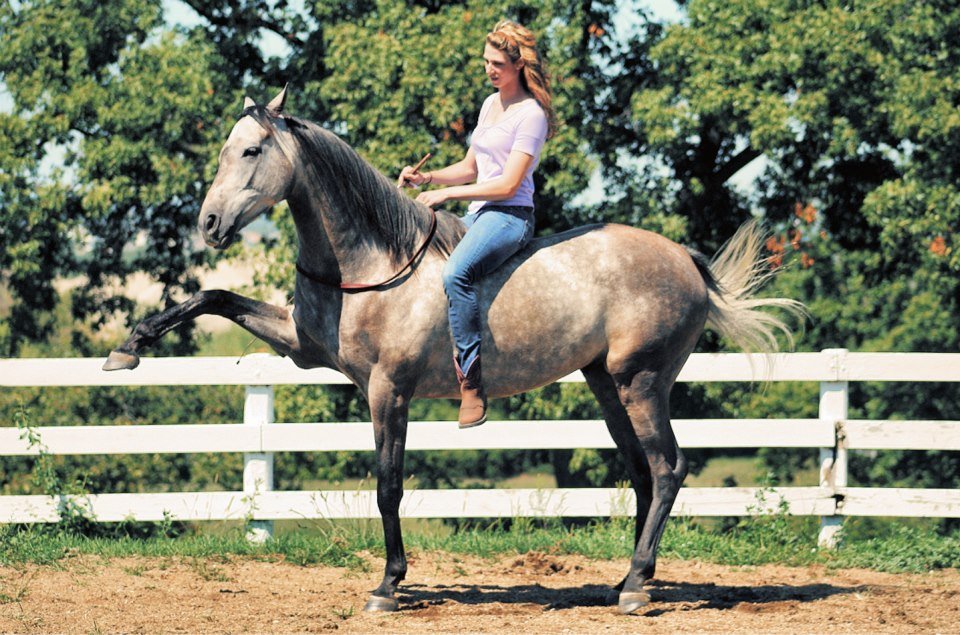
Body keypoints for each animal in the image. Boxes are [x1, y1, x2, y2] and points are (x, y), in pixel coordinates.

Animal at [103, 86, 802, 615]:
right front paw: (129, 347)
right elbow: (212, 295)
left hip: (642, 381)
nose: (209, 225)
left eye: (251, 149)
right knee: (641, 474)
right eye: (224, 150)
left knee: (667, 468)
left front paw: (388, 586)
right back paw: (630, 578)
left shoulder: (388, 390)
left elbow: (388, 485)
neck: (371, 264)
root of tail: (687, 262)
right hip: (606, 384)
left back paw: (636, 587)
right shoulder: (302, 347)